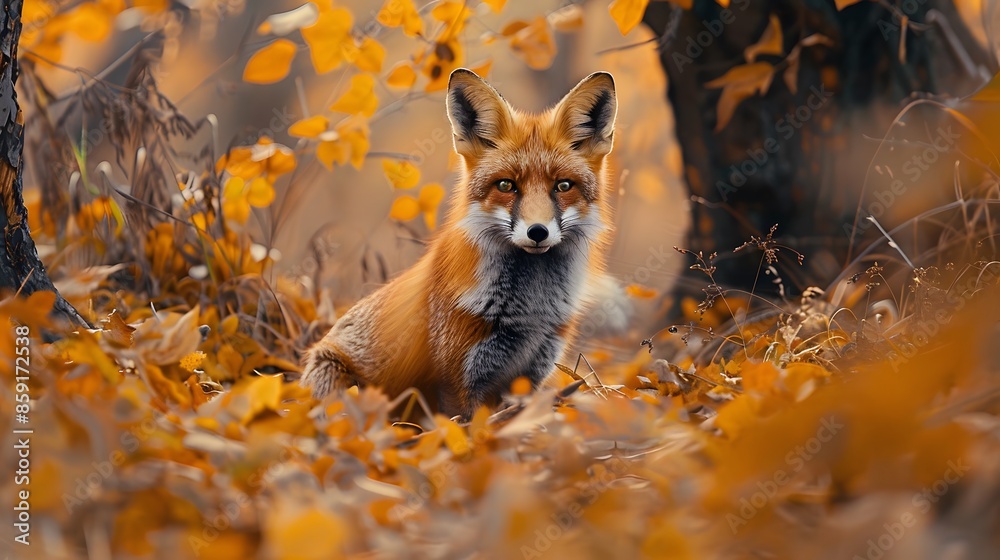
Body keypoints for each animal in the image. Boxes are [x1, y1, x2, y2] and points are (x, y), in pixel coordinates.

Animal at [300, 68, 618, 419]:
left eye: (563, 186)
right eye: (506, 185)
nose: (537, 232)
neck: (531, 312)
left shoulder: (531, 374)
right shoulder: (456, 379)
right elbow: (462, 427)